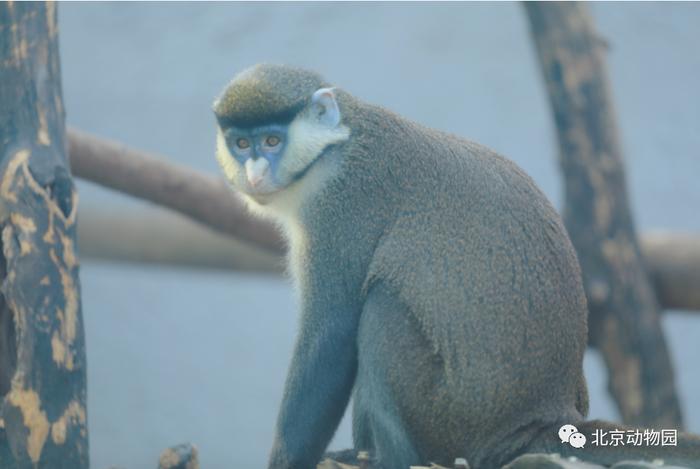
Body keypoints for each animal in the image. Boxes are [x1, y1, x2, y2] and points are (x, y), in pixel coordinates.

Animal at [213, 63, 700, 468]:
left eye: (272, 141)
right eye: (242, 143)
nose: (255, 174)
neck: (337, 145)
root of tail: (544, 415)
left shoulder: (342, 210)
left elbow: (331, 335)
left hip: (448, 416)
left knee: (379, 310)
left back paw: (392, 459)